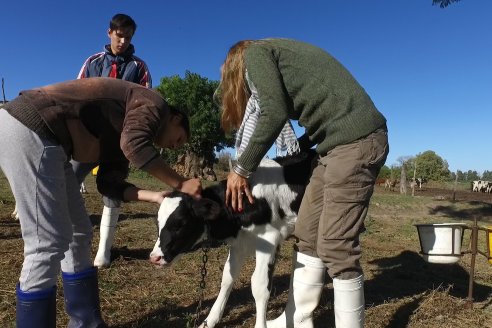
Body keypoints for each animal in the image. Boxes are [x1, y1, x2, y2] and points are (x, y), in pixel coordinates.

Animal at [148, 152, 316, 328]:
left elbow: (259, 286)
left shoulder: (269, 240)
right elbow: (227, 278)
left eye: (180, 224)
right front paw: (210, 321)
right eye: (157, 223)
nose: (154, 257)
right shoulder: (239, 244)